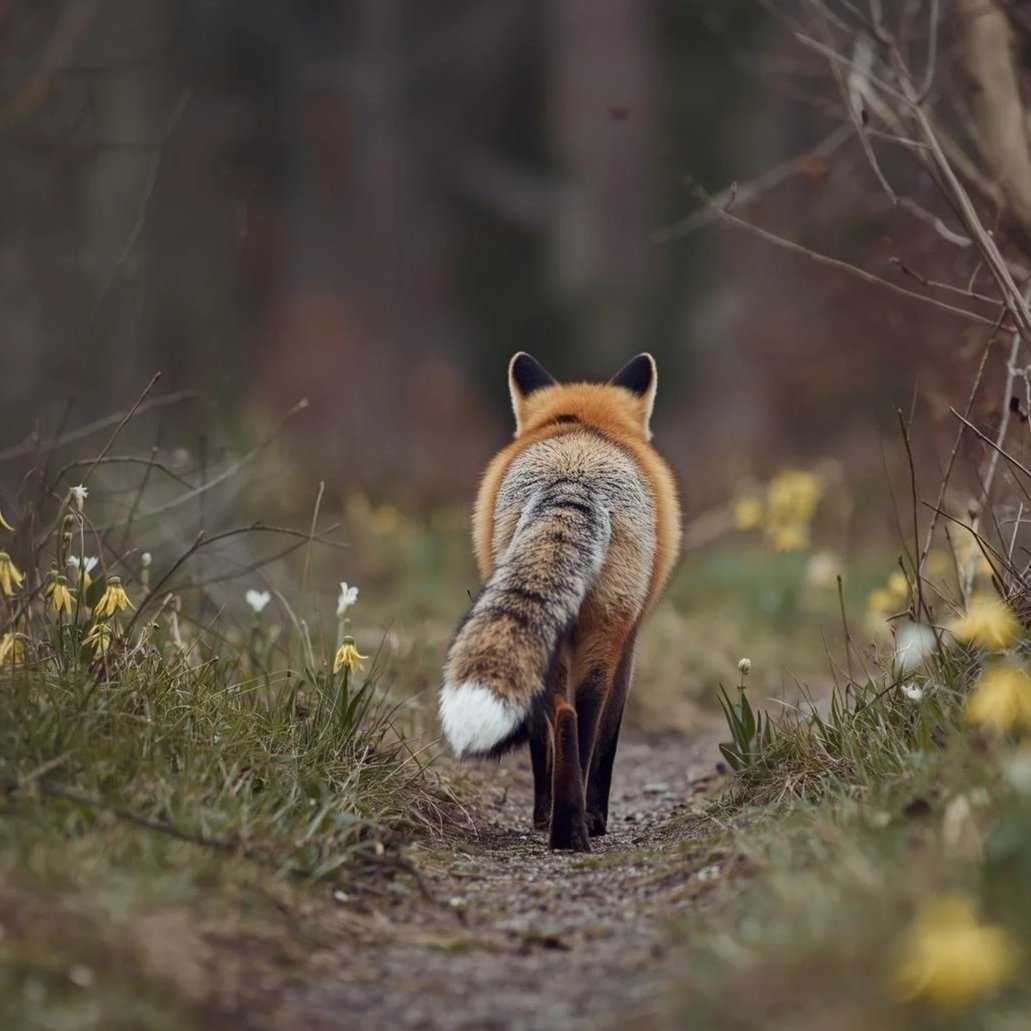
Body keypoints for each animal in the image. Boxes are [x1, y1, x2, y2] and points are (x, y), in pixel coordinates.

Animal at [439, 352, 681, 851]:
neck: (584, 424)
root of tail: (572, 476)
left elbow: (540, 736)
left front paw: (545, 815)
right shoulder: (630, 643)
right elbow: (606, 741)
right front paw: (592, 815)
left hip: (553, 641)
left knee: (559, 716)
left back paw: (563, 827)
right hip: (602, 636)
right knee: (580, 723)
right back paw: (578, 824)